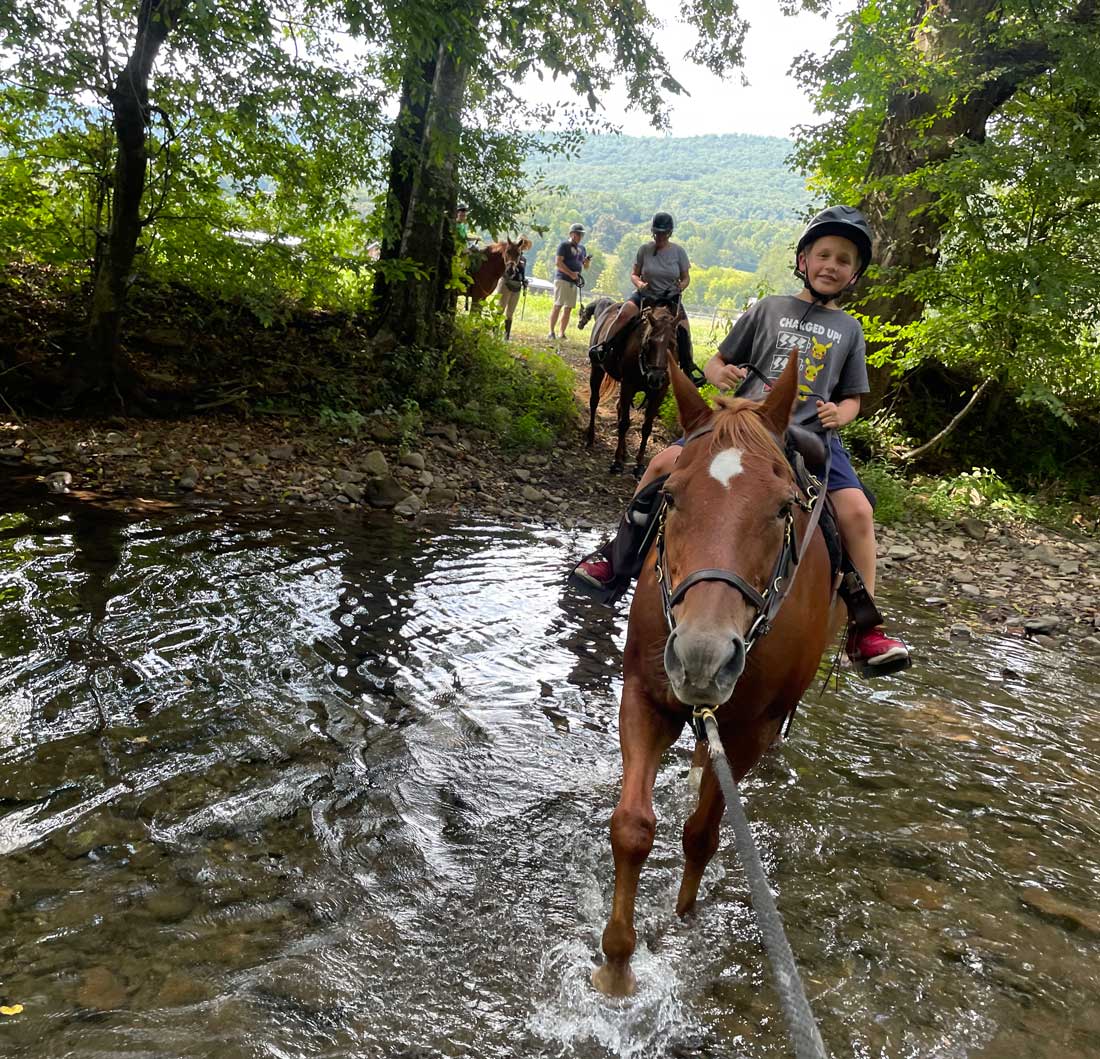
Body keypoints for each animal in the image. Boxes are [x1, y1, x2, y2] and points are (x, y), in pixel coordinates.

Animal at [576, 301, 677, 477]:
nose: (656, 378)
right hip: (597, 370)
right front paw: (616, 463)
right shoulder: (628, 385)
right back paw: (591, 437)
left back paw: (623, 452)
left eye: (672, 344)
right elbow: (624, 423)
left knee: (618, 408)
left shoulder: (659, 393)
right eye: (649, 342)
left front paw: (639, 465)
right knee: (594, 401)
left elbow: (646, 427)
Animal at [594, 351, 840, 998]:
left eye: (782, 507)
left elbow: (702, 834)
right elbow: (632, 826)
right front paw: (616, 964)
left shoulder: (751, 730)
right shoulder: (645, 698)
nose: (703, 656)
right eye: (671, 497)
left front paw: (681, 922)